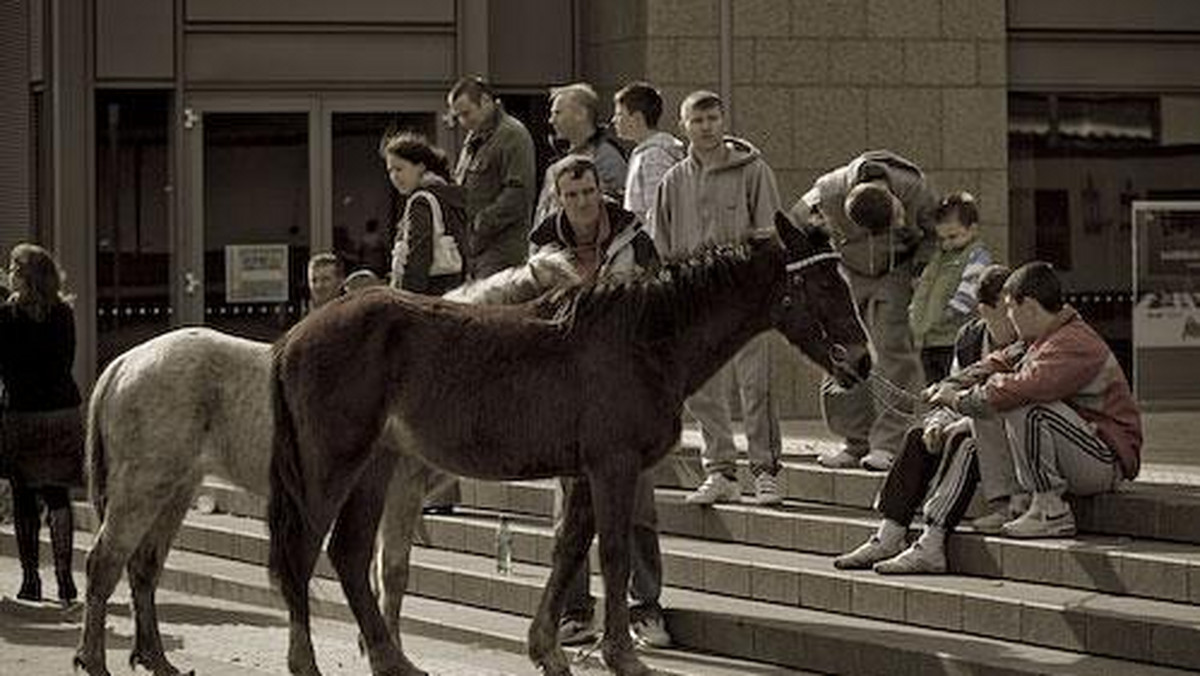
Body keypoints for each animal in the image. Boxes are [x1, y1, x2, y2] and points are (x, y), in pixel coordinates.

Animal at [270, 218, 873, 676]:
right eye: (824, 285)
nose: (863, 361)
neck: (643, 339)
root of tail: (297, 334)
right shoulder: (614, 466)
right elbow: (614, 554)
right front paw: (621, 656)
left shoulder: (586, 472)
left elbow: (569, 550)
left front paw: (548, 648)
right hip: (332, 466)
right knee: (303, 551)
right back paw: (307, 661)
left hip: (376, 465)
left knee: (349, 555)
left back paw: (392, 659)